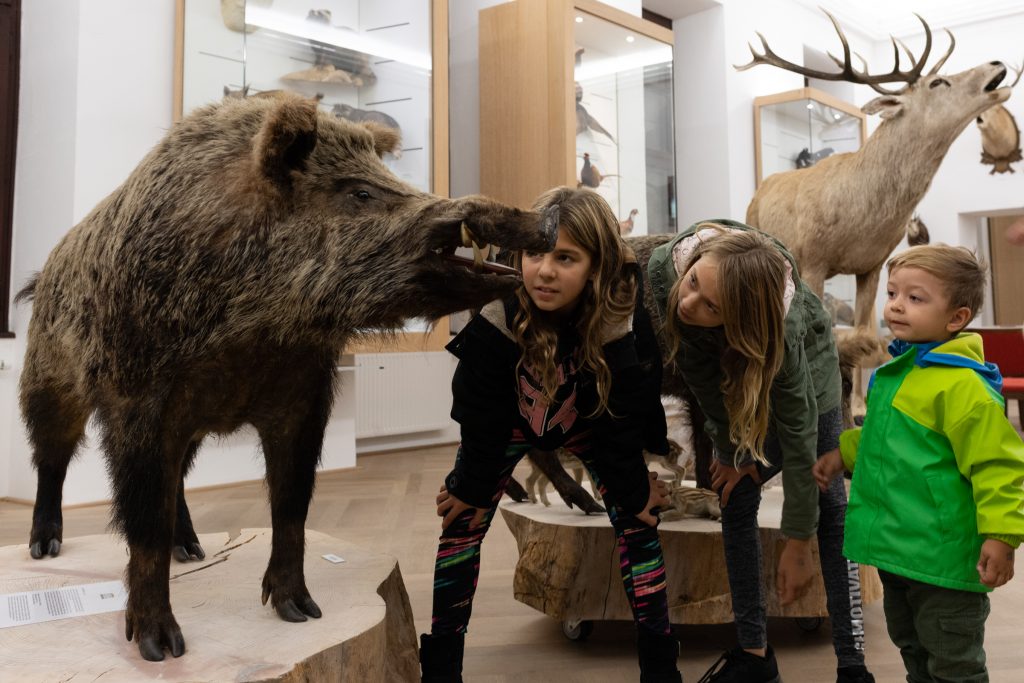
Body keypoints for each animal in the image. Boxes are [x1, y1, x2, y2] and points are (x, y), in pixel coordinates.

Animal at [737, 10, 1015, 331]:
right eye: (937, 82)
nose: (995, 62)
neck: (864, 218)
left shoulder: (873, 265)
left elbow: (863, 329)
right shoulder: (813, 257)